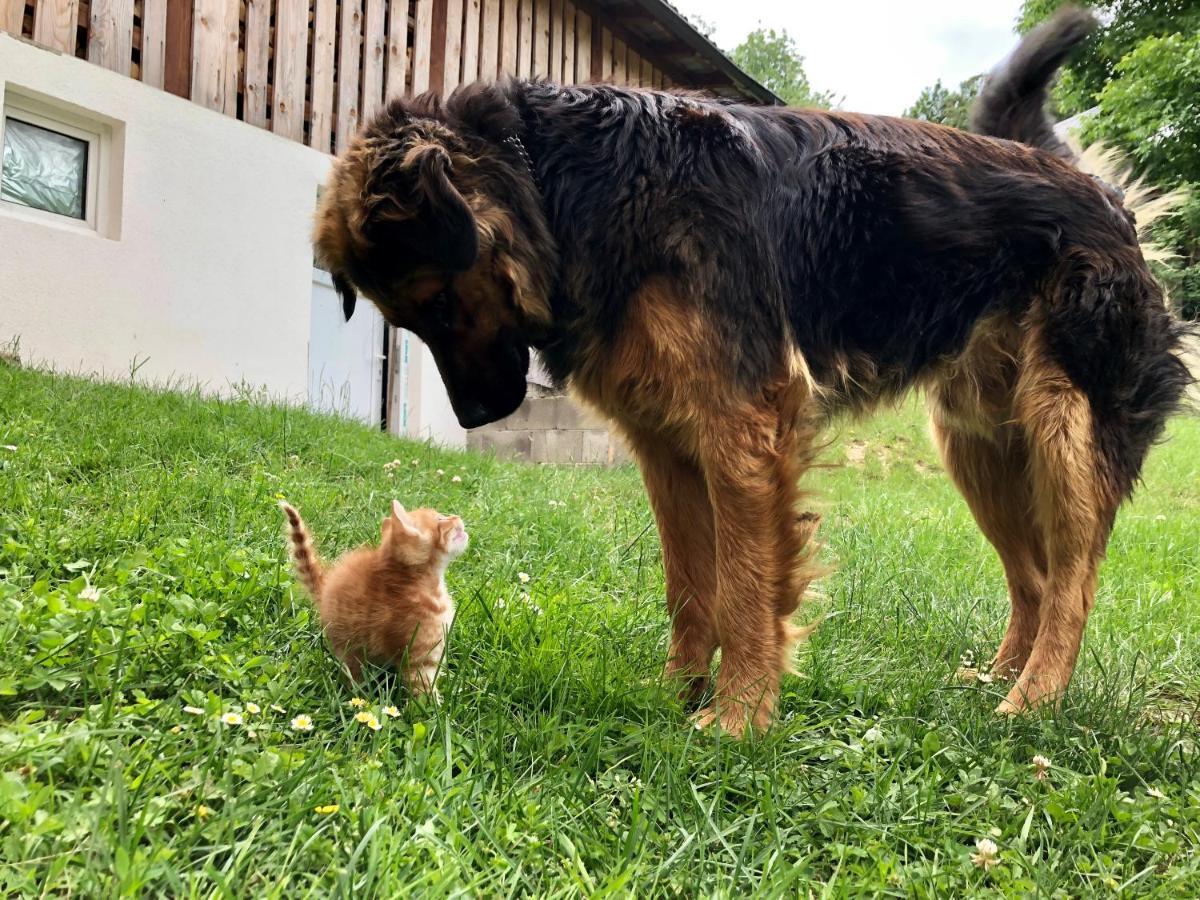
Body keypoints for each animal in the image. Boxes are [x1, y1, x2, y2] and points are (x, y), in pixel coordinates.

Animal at [280, 501, 468, 696]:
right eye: (440, 519)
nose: (456, 517)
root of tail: (325, 590)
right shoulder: (418, 658)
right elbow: (423, 691)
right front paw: (436, 703)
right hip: (349, 649)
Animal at [314, 7, 1195, 734]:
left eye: (438, 302)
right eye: (407, 318)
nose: (477, 419)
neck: (565, 184)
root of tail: (1101, 191)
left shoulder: (740, 425)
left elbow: (744, 587)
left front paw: (738, 718)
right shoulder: (666, 445)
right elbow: (689, 585)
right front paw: (674, 695)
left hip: (1064, 428)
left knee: (1074, 580)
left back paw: (1033, 700)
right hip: (979, 443)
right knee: (1035, 579)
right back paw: (995, 680)